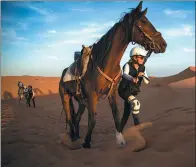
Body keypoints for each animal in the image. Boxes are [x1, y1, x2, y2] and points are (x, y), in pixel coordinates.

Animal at [58, 0, 167, 148]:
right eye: (143, 21)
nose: (163, 44)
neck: (105, 64)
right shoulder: (92, 96)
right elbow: (93, 120)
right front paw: (87, 143)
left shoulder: (112, 93)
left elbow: (116, 115)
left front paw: (120, 139)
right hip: (65, 97)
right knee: (69, 118)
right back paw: (74, 138)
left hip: (81, 101)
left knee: (76, 117)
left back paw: (76, 136)